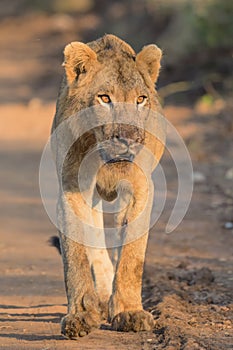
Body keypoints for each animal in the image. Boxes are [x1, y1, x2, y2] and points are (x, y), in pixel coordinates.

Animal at [51, 34, 165, 338]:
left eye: (140, 99)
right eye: (104, 98)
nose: (129, 139)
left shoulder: (141, 189)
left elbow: (132, 255)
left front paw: (130, 313)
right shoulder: (71, 189)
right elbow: (76, 255)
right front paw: (80, 315)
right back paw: (100, 299)